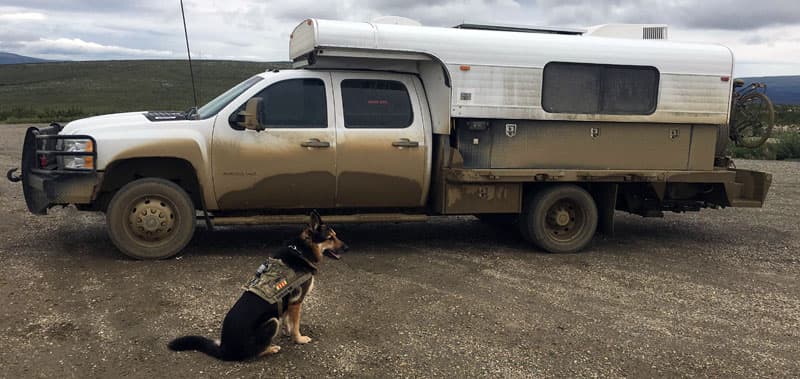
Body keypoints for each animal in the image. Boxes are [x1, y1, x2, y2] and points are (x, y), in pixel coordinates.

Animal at [167, 211, 346, 362]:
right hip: (272, 322)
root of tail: (224, 349)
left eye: (336, 236)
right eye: (330, 238)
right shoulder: (297, 302)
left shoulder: (288, 304)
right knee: (252, 353)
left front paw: (288, 332)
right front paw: (299, 339)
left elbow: (288, 320)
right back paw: (271, 348)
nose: (347, 247)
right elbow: (295, 324)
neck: (301, 250)